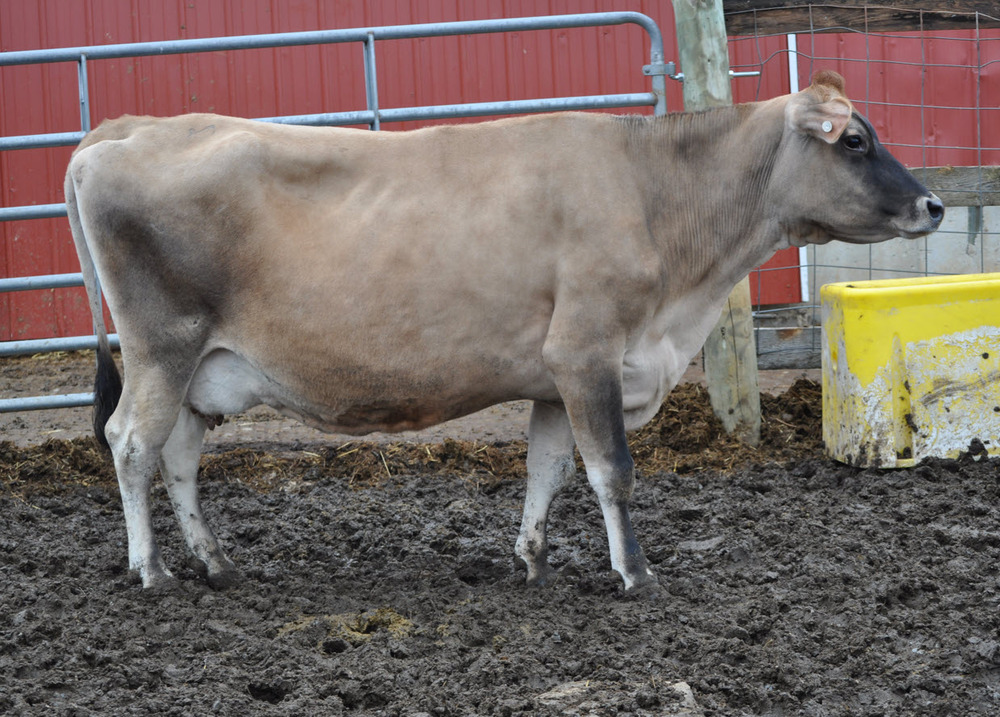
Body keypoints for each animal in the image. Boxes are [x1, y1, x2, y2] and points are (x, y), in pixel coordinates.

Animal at [65, 71, 943, 592]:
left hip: (200, 368)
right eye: (855, 140)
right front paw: (637, 575)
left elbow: (548, 471)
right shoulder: (588, 352)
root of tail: (128, 128)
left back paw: (215, 561)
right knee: (130, 443)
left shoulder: (553, 376)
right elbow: (614, 471)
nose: (933, 204)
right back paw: (152, 569)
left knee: (177, 454)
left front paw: (531, 557)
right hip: (162, 346)